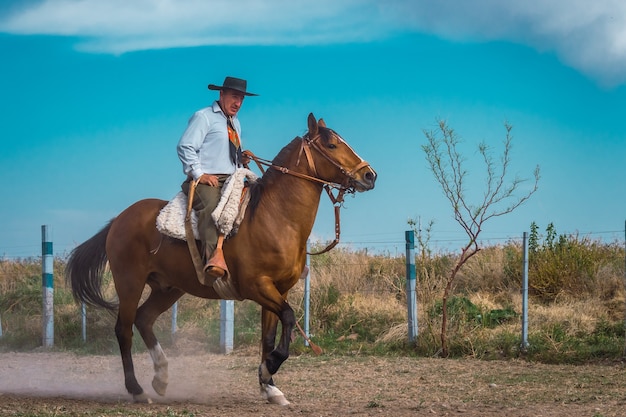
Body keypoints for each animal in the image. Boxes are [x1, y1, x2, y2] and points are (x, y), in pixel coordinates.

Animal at [67, 113, 376, 404]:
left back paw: (162, 377)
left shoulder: (278, 289)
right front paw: (270, 367)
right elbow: (288, 317)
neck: (275, 217)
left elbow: (269, 336)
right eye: (332, 144)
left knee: (144, 319)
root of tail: (119, 220)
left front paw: (270, 386)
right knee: (124, 329)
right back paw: (137, 390)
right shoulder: (257, 286)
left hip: (168, 288)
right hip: (129, 282)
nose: (369, 175)